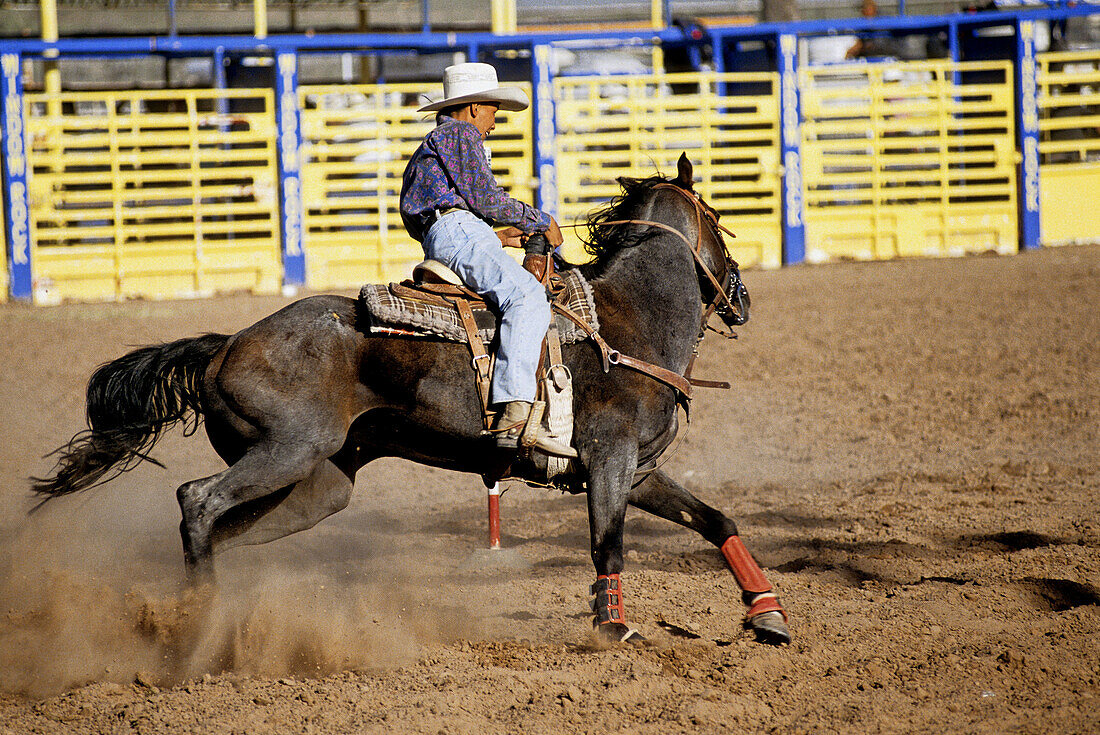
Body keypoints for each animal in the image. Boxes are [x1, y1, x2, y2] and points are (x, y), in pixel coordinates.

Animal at [34, 154, 792, 642]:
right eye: (720, 219)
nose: (745, 297)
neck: (628, 321)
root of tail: (226, 345)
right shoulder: (608, 463)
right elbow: (608, 546)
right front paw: (615, 629)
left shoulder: (639, 470)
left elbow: (717, 520)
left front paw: (767, 613)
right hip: (286, 451)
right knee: (197, 500)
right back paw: (198, 620)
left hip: (318, 485)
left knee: (219, 524)